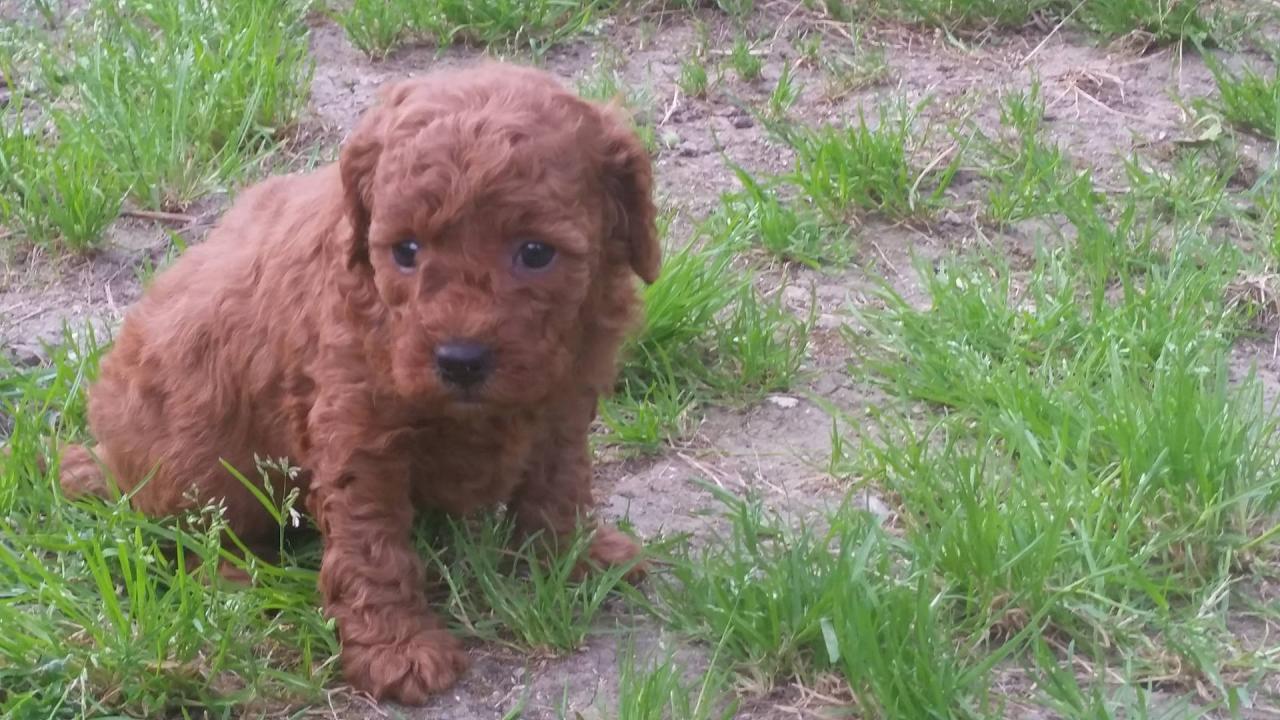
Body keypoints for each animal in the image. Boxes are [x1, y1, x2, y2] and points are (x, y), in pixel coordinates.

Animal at [58, 61, 660, 702]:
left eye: (536, 252)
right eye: (406, 251)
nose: (460, 360)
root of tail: (107, 461)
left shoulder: (566, 393)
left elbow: (558, 481)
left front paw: (571, 557)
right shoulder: (358, 427)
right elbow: (374, 548)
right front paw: (398, 650)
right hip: (193, 466)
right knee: (183, 537)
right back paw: (235, 580)